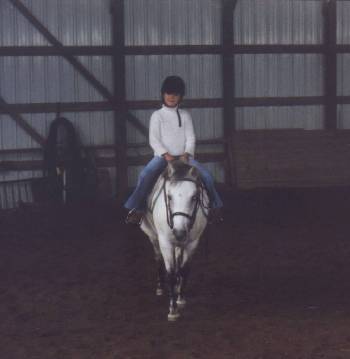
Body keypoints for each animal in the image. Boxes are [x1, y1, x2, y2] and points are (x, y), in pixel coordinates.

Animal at [141, 160, 209, 320]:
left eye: (194, 197)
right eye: (169, 197)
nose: (179, 232)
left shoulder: (192, 242)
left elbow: (184, 269)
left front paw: (180, 298)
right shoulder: (165, 242)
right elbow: (170, 273)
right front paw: (172, 310)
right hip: (153, 236)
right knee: (158, 258)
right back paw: (160, 287)